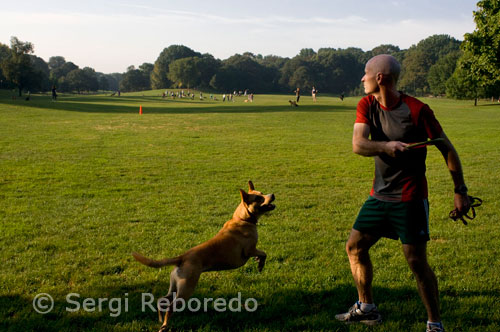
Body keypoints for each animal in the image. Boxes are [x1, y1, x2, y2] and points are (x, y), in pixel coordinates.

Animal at [131, 182, 276, 332]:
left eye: (262, 193)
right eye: (258, 198)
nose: (272, 195)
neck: (242, 218)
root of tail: (182, 257)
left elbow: (262, 255)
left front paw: (258, 262)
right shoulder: (249, 250)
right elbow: (263, 253)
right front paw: (260, 264)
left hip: (174, 287)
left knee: (162, 300)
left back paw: (161, 319)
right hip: (186, 290)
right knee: (170, 307)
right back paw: (165, 326)